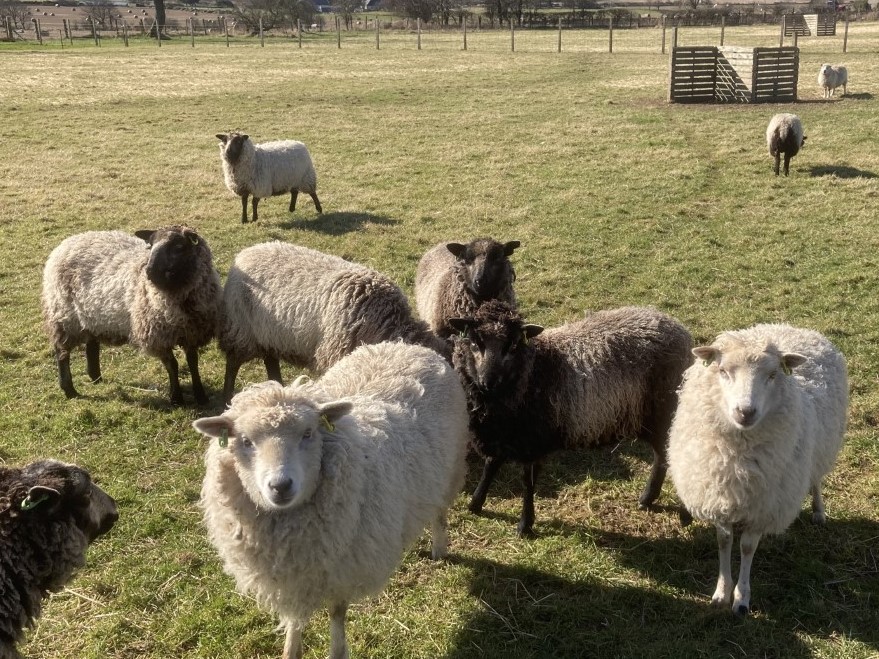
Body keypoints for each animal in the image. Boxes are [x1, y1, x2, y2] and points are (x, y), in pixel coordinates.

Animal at [41, 226, 223, 405]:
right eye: (150, 245)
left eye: (179, 246)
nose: (149, 271)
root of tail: (68, 242)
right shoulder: (158, 337)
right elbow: (173, 365)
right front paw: (176, 397)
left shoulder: (192, 333)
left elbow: (193, 363)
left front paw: (201, 396)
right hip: (64, 316)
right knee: (62, 351)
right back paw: (69, 390)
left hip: (90, 317)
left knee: (91, 344)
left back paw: (95, 377)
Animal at [193, 341, 470, 659]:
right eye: (245, 441)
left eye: (308, 433)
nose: (280, 485)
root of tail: (408, 345)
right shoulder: (294, 574)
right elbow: (295, 616)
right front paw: (291, 648)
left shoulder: (343, 568)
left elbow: (337, 614)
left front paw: (337, 650)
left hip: (451, 469)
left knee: (440, 512)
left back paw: (439, 548)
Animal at [221, 241, 448, 404]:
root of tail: (246, 252)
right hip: (240, 328)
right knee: (232, 363)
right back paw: (227, 396)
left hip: (268, 335)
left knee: (270, 360)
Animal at [449, 301, 693, 537]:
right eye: (474, 342)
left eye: (513, 345)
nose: (488, 381)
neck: (532, 370)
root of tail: (677, 328)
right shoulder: (502, 434)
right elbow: (490, 466)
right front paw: (475, 504)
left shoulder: (532, 442)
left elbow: (527, 484)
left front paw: (525, 526)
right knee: (661, 458)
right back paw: (647, 499)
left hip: (665, 416)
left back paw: (683, 514)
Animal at [667, 324, 848, 615]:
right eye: (722, 371)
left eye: (773, 375)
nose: (745, 412)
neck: (739, 459)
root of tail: (790, 327)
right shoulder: (719, 495)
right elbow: (724, 541)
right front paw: (721, 592)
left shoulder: (763, 507)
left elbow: (747, 547)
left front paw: (741, 598)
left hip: (819, 450)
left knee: (816, 478)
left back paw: (819, 511)